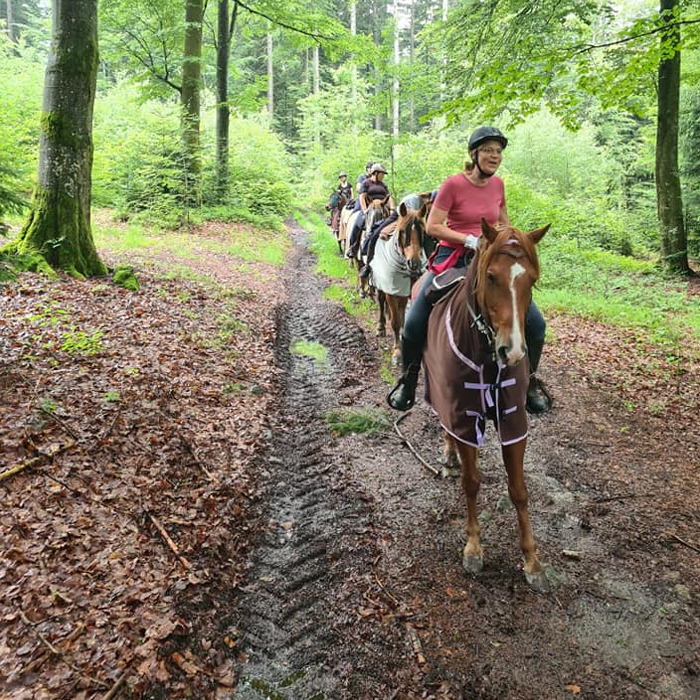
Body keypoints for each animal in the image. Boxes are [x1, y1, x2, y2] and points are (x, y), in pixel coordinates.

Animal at [371, 201, 428, 365]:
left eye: (423, 232)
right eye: (403, 232)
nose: (414, 263)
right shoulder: (391, 293)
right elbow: (396, 322)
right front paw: (397, 352)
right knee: (381, 301)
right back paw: (381, 327)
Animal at [422, 218, 550, 593]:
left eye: (531, 280)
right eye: (491, 276)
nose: (513, 351)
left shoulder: (514, 421)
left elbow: (519, 490)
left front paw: (532, 562)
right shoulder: (466, 415)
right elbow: (472, 482)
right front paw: (474, 548)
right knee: (442, 418)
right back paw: (449, 453)